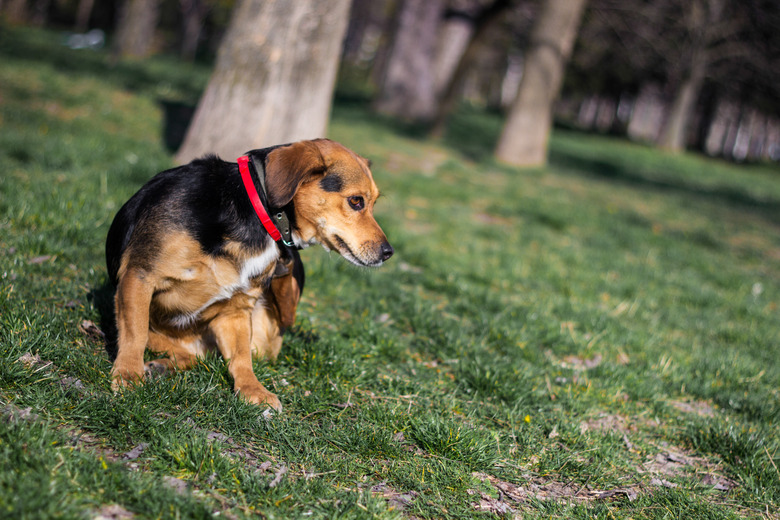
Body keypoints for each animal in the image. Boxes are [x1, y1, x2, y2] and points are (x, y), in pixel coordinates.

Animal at [106, 138, 394, 410]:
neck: (260, 214)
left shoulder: (237, 308)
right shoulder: (140, 276)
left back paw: (162, 367)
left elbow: (241, 358)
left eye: (373, 203)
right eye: (356, 201)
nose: (388, 252)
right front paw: (129, 375)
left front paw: (252, 389)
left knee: (201, 356)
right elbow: (135, 334)